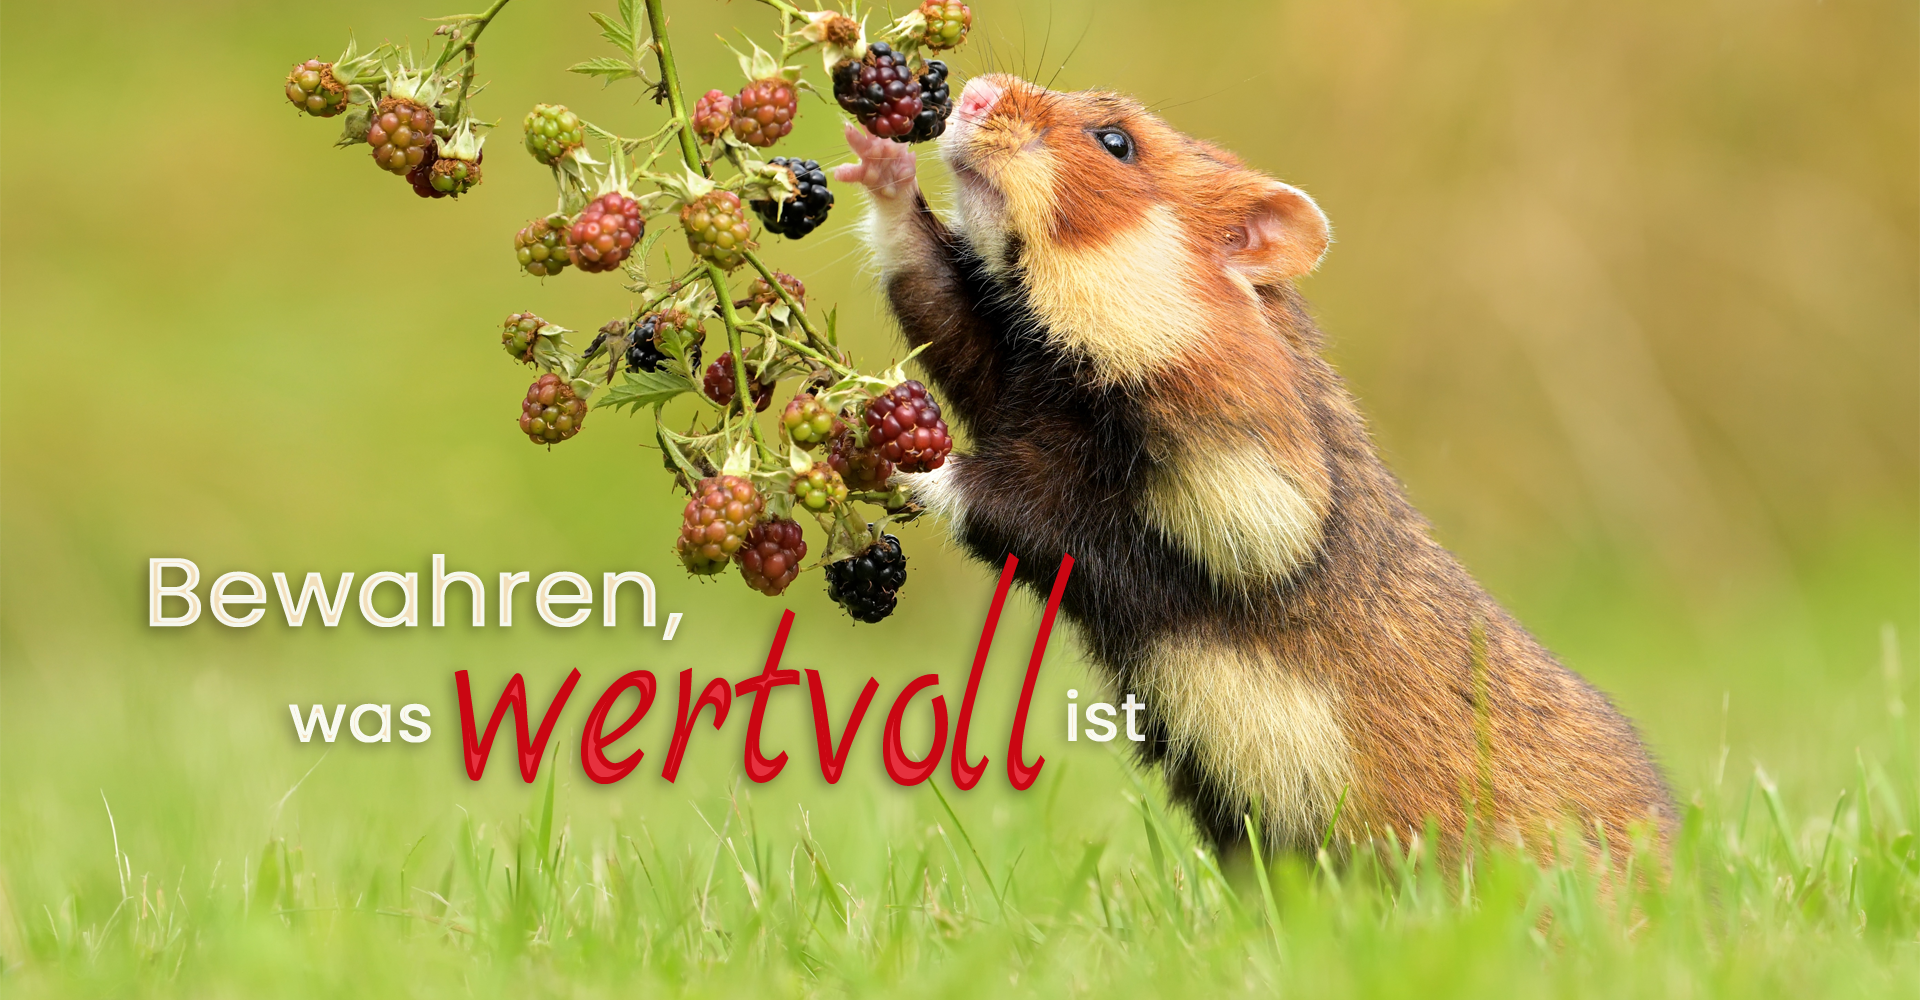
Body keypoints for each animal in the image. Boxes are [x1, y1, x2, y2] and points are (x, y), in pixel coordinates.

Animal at [835, 74, 1674, 860]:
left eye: (1116, 142)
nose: (973, 92)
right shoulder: (1007, 368)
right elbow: (932, 290)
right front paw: (880, 159)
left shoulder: (1215, 527)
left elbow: (1003, 500)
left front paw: (874, 452)